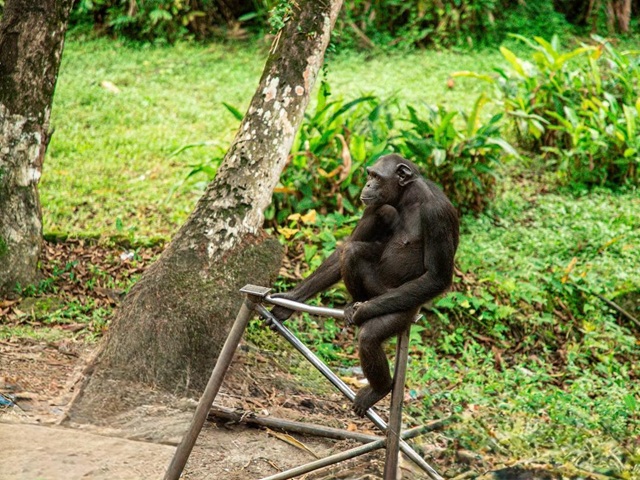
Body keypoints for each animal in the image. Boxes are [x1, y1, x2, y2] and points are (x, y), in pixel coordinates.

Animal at [272, 155, 458, 416]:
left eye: (376, 177)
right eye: (369, 174)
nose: (368, 185)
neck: (408, 198)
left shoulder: (436, 214)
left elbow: (437, 276)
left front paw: (363, 312)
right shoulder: (373, 206)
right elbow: (348, 244)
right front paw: (291, 299)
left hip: (401, 305)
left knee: (370, 336)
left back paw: (379, 387)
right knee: (354, 249)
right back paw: (352, 303)